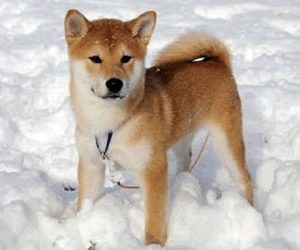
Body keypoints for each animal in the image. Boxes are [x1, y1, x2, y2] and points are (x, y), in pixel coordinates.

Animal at [65, 9, 253, 246]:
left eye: (126, 58)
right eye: (95, 58)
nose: (115, 83)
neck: (110, 124)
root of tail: (218, 63)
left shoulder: (152, 167)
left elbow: (154, 219)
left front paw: (153, 244)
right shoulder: (91, 162)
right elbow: (86, 202)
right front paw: (80, 221)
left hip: (226, 141)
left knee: (245, 179)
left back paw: (249, 210)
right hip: (181, 137)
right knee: (185, 161)